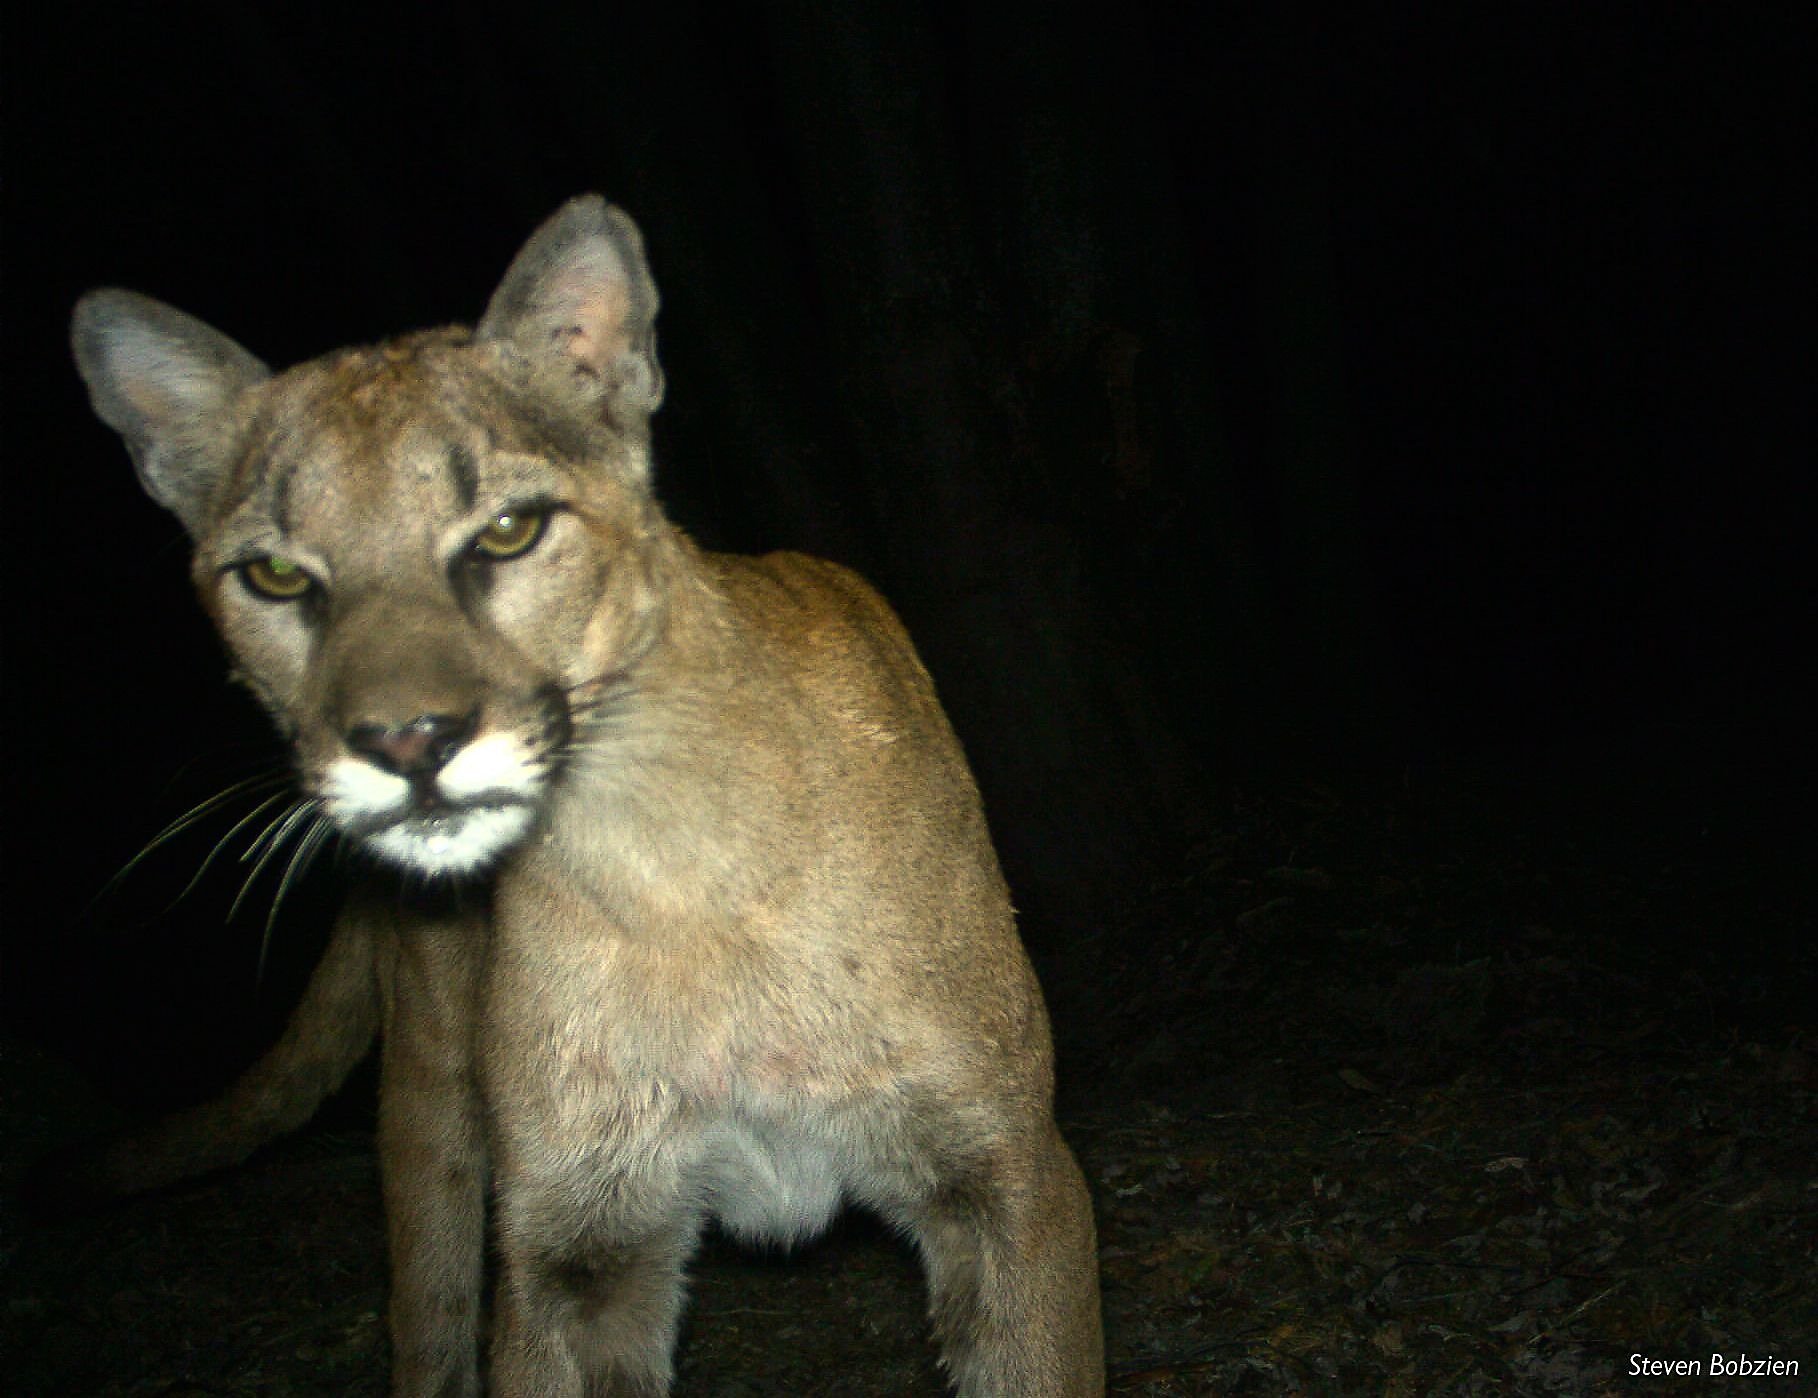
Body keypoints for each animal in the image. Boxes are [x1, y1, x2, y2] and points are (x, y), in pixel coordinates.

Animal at [70, 199, 1105, 1396]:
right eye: (275, 577)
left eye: (509, 531)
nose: (406, 740)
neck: (663, 872)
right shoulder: (574, 1249)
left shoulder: (1006, 1175)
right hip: (434, 1119)